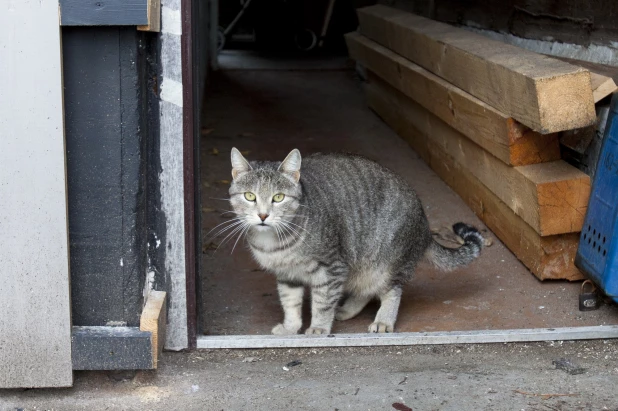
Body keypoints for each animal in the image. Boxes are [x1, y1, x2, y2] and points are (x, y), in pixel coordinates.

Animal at [226, 148, 482, 334]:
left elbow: (322, 302)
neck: (273, 243)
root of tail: (425, 227)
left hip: (387, 263)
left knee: (392, 291)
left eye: (278, 197)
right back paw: (347, 310)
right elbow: (290, 303)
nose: (263, 215)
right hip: (364, 265)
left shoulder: (332, 268)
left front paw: (318, 327)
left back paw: (383, 320)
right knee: (365, 290)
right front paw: (291, 327)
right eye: (250, 196)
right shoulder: (287, 275)